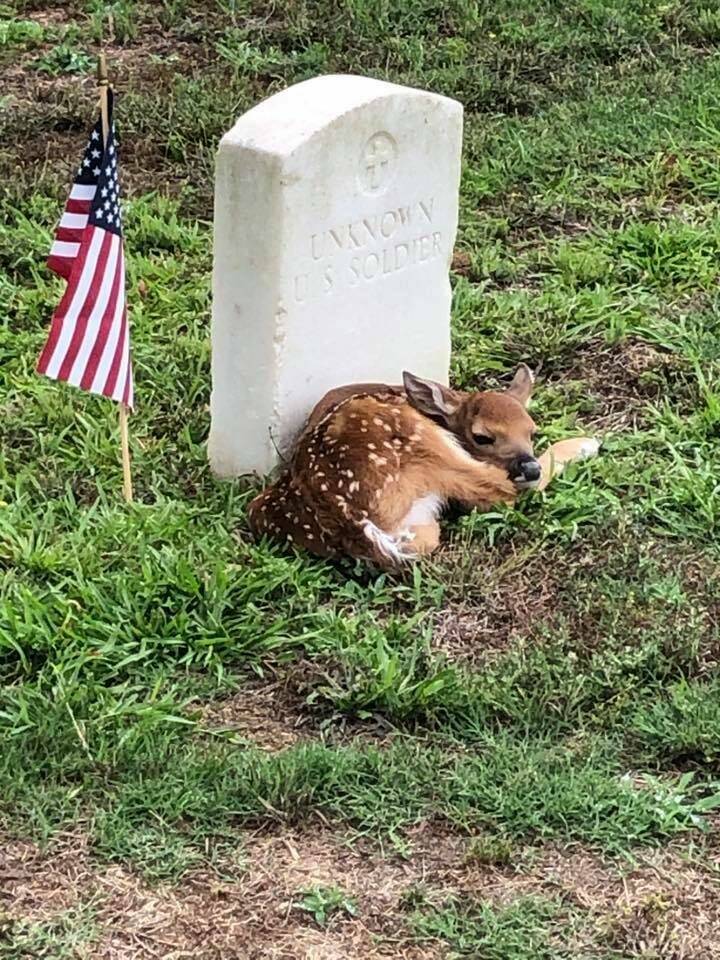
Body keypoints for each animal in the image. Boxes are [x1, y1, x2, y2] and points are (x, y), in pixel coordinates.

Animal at [250, 364, 600, 568]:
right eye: (482, 436)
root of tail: (346, 516)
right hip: (427, 445)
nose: (528, 467)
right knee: (501, 491)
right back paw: (584, 444)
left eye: (532, 431)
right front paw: (587, 443)